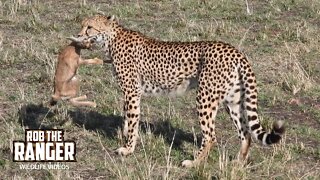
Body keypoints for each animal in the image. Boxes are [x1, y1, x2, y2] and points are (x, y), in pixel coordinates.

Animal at [75, 15, 284, 167]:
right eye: (82, 25)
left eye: (89, 27)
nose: (77, 35)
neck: (111, 38)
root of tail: (234, 50)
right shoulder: (129, 93)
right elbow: (127, 117)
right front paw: (124, 136)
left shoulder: (132, 92)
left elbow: (132, 120)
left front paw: (127, 149)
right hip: (233, 100)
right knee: (245, 134)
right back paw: (238, 163)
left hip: (205, 98)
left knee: (210, 136)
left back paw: (193, 163)